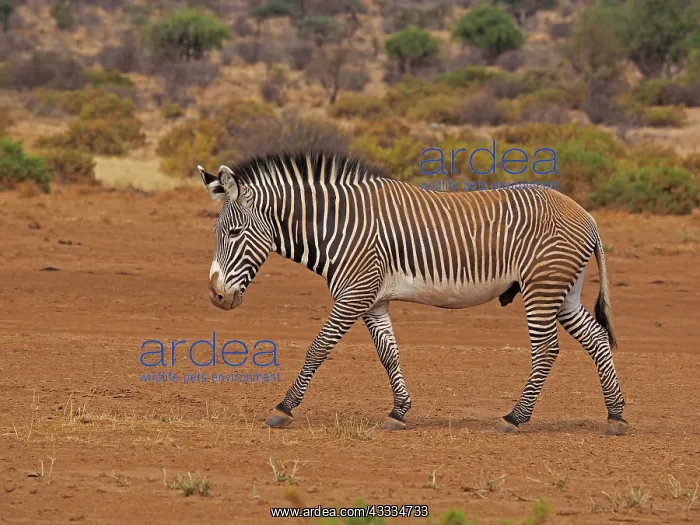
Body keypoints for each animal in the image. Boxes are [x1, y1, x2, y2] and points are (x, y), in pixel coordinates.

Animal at [198, 151, 629, 436]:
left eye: (234, 233)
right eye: (217, 233)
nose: (216, 297)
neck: (338, 226)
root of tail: (586, 215)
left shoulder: (354, 293)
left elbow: (318, 348)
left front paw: (283, 408)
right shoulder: (373, 299)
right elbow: (389, 354)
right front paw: (399, 411)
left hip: (543, 288)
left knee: (547, 350)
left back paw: (515, 418)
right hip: (563, 291)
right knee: (596, 339)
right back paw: (616, 415)